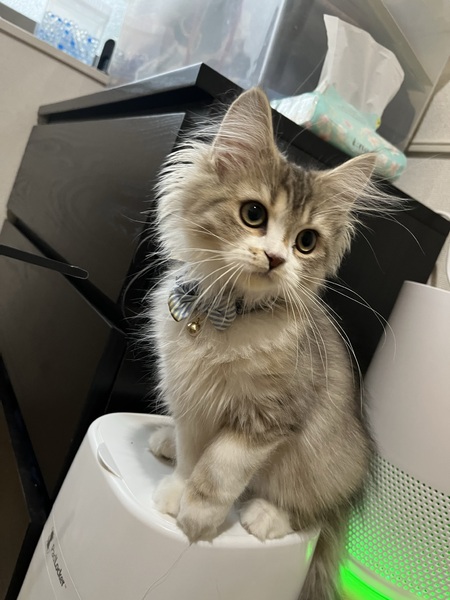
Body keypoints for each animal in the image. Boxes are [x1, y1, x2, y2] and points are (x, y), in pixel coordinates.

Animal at [146, 87, 380, 600]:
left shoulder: (269, 417)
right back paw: (164, 442)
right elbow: (193, 452)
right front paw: (175, 487)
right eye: (253, 214)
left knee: (313, 506)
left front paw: (197, 515)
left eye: (306, 242)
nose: (275, 258)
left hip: (326, 462)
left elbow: (219, 469)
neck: (226, 319)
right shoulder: (191, 395)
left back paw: (266, 515)